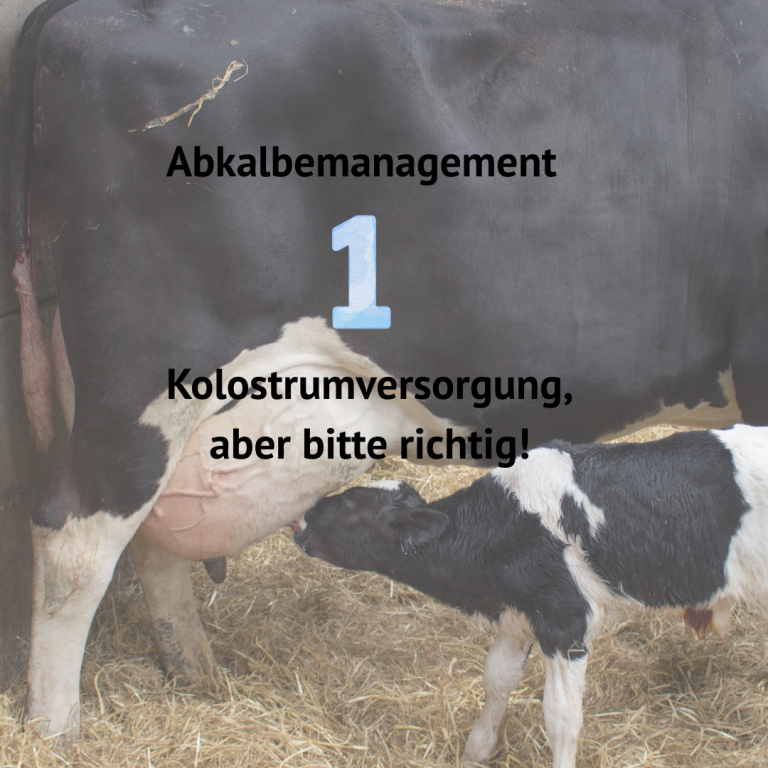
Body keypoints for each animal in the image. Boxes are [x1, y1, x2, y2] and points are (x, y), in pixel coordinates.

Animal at [295, 426, 768, 768]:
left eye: (351, 506)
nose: (302, 517)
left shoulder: (565, 620)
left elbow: (561, 719)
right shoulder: (517, 616)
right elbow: (496, 679)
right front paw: (476, 750)